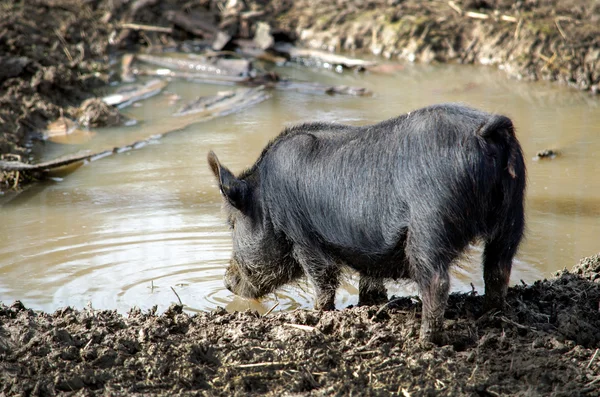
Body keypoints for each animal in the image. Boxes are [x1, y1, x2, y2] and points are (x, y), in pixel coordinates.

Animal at [207, 103, 524, 342]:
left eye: (232, 223)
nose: (226, 281)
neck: (266, 197)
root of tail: (484, 130)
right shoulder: (368, 251)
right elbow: (370, 283)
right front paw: (370, 303)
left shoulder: (302, 234)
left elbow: (323, 279)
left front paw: (317, 314)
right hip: (513, 211)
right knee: (498, 268)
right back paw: (489, 316)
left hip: (430, 224)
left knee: (436, 280)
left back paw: (424, 341)